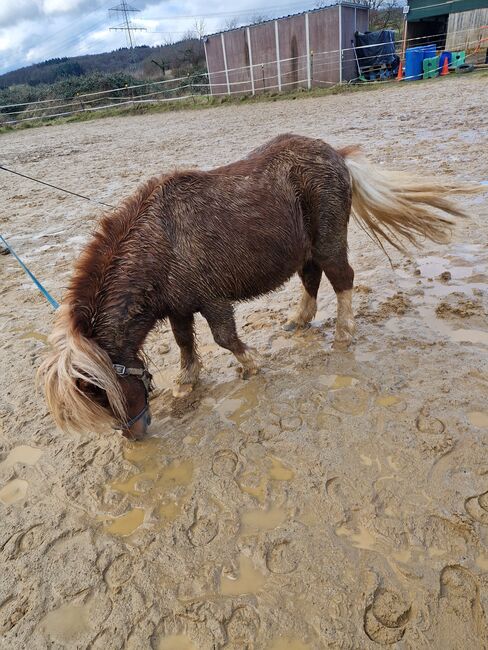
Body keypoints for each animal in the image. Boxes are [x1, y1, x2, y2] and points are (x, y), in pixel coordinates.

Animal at [40, 132, 474, 438]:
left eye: (102, 392)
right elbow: (184, 343)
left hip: (329, 242)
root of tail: (337, 155)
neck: (160, 242)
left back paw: (344, 333)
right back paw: (299, 320)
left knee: (342, 280)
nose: (134, 436)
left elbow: (224, 338)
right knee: (312, 279)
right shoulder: (179, 307)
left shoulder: (212, 299)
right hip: (305, 250)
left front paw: (251, 364)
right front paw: (186, 382)